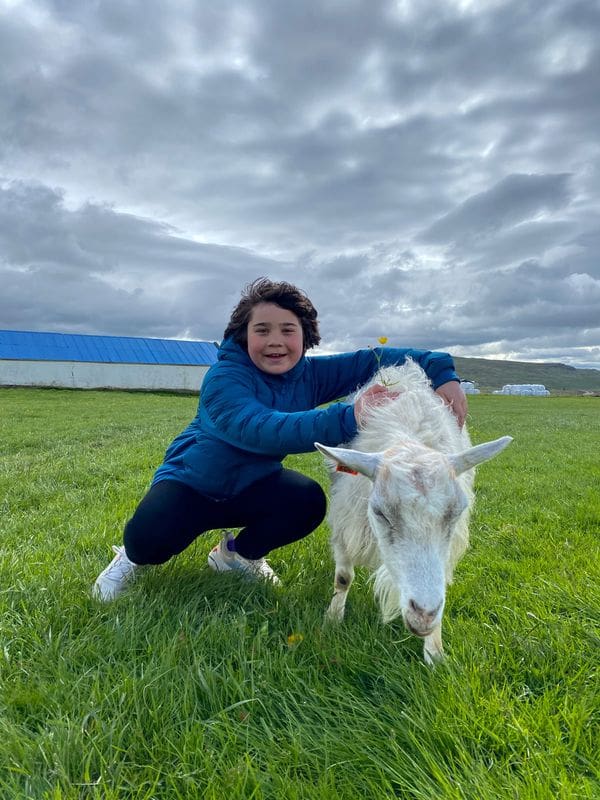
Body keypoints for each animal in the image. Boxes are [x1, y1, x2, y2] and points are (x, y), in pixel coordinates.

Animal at [314, 360, 510, 664]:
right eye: (380, 513)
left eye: (456, 513)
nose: (424, 615)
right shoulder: (345, 520)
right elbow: (344, 578)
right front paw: (332, 620)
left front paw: (435, 652)